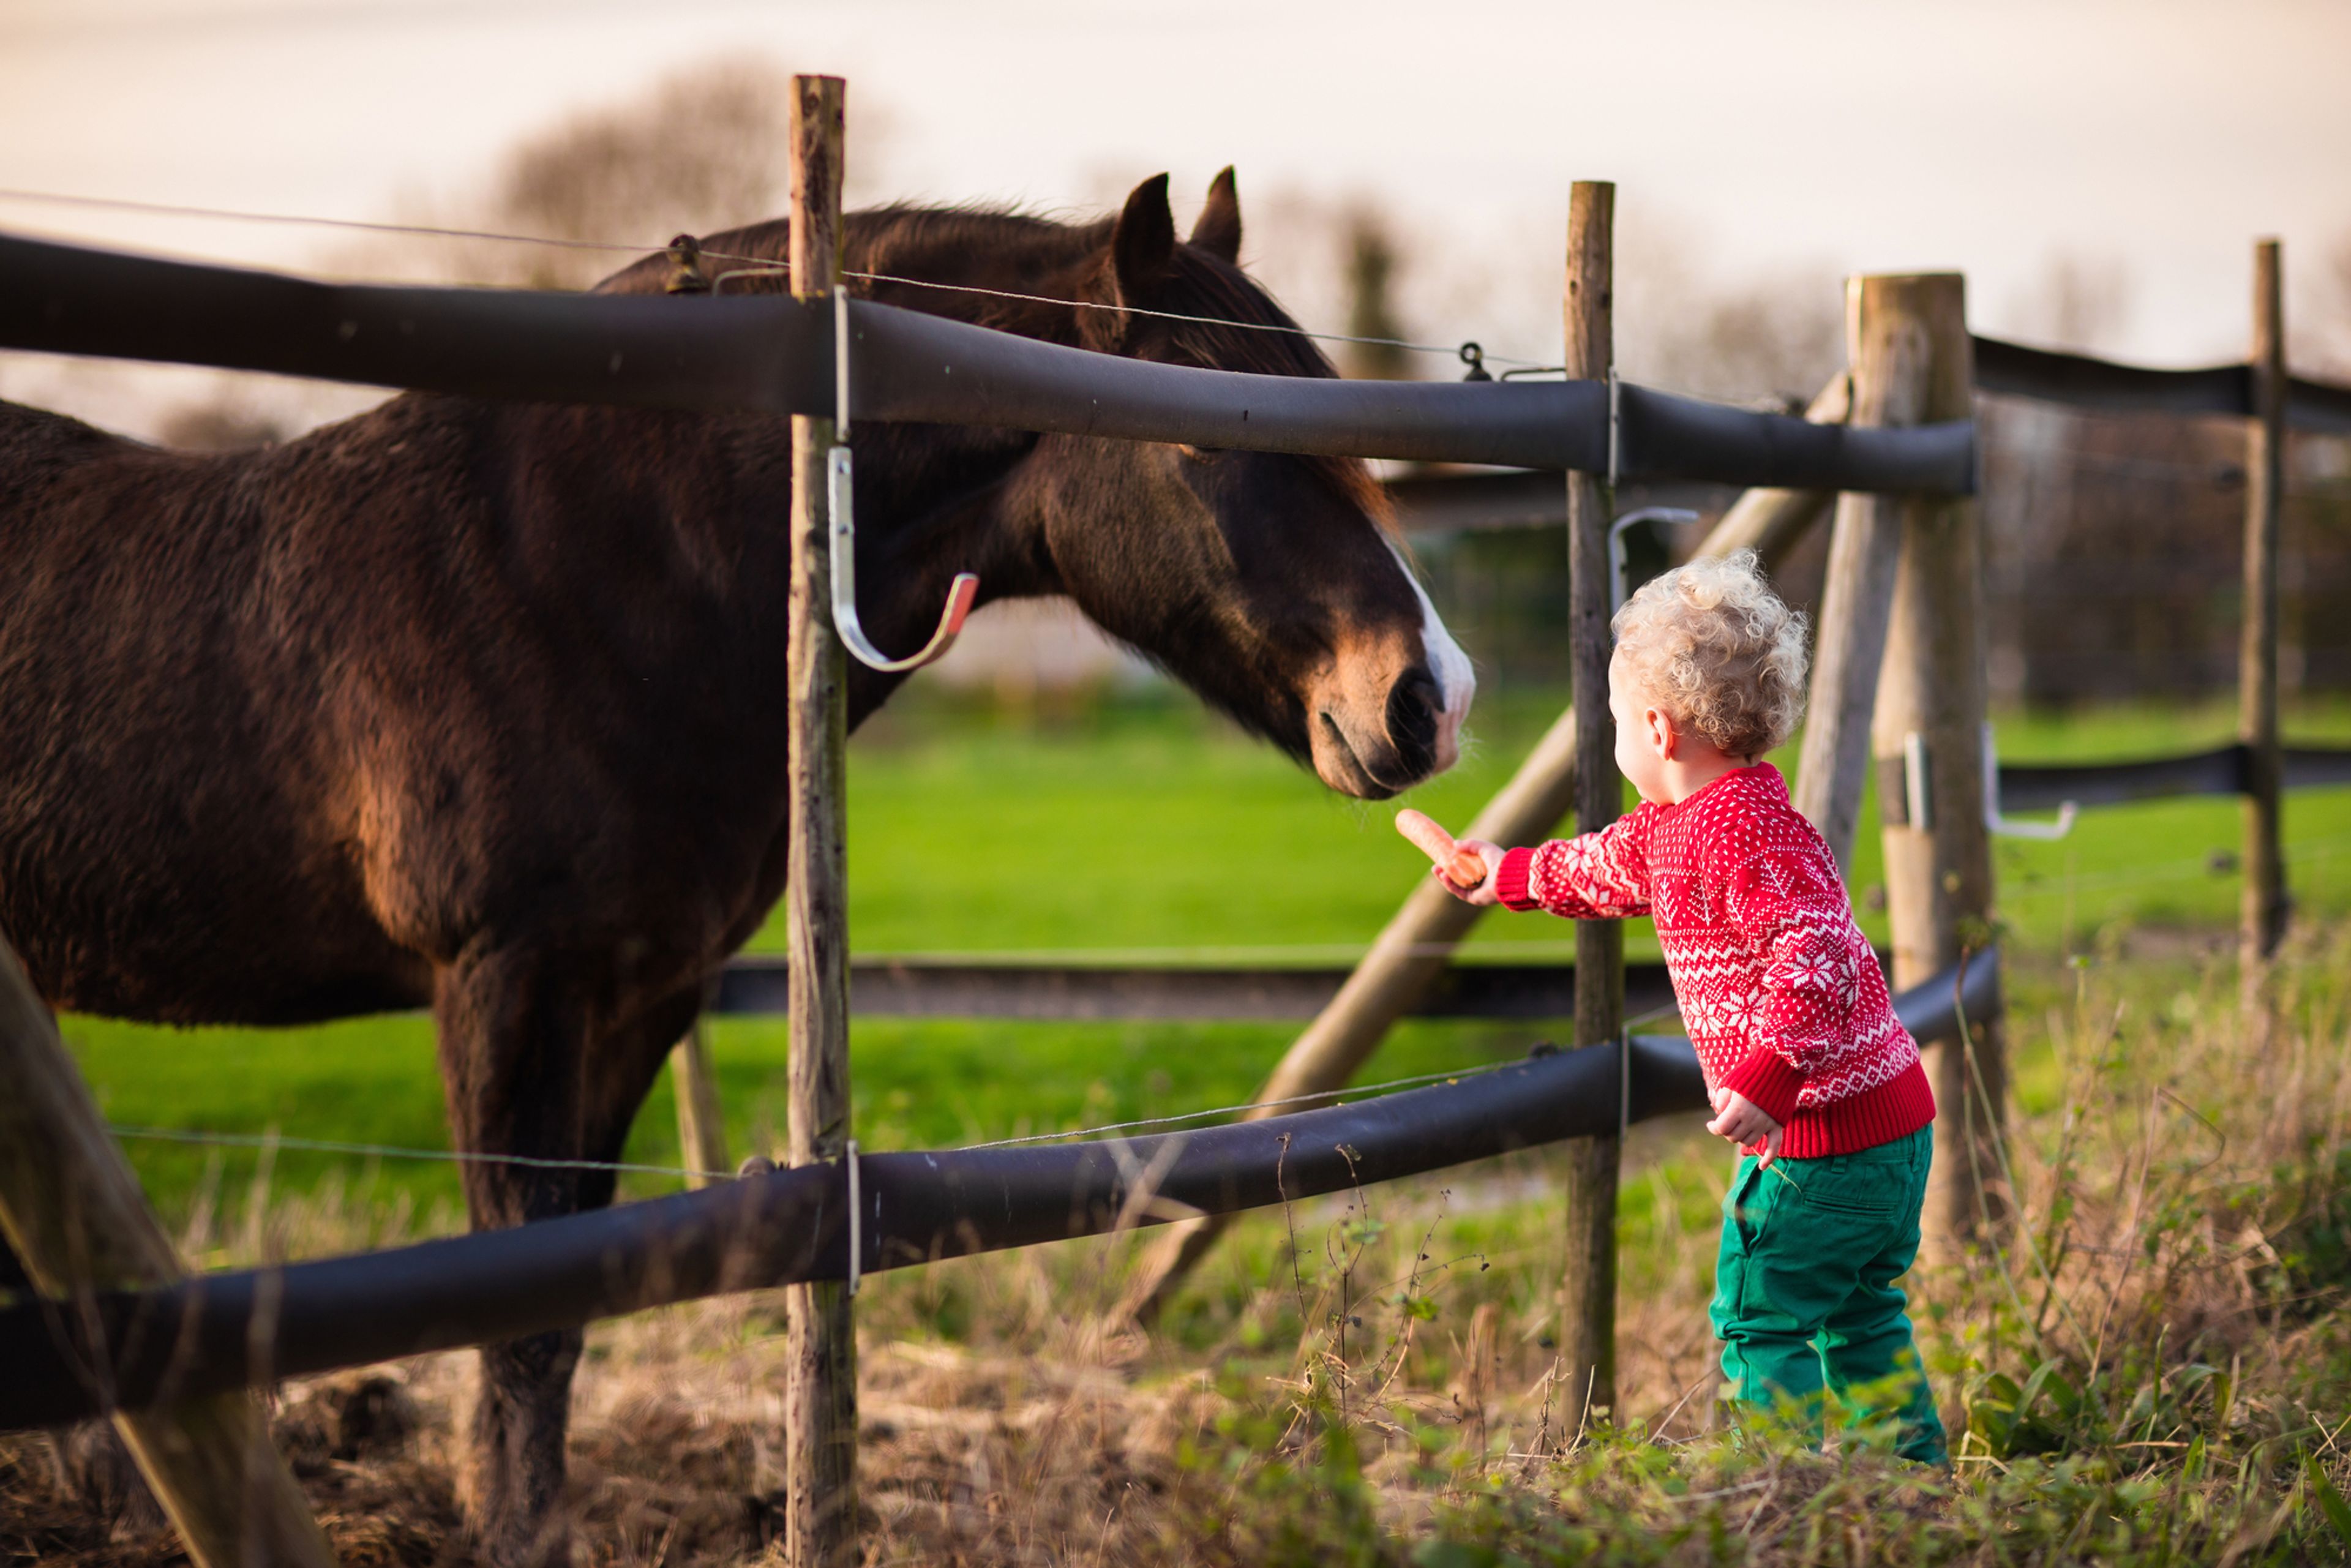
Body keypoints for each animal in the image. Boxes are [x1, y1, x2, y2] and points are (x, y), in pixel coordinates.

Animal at [0, 169, 1467, 1561]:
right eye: (1206, 434)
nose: (1429, 695)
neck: (585, 575)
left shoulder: (638, 992)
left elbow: (572, 1301)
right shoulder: (504, 981)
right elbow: (515, 1307)